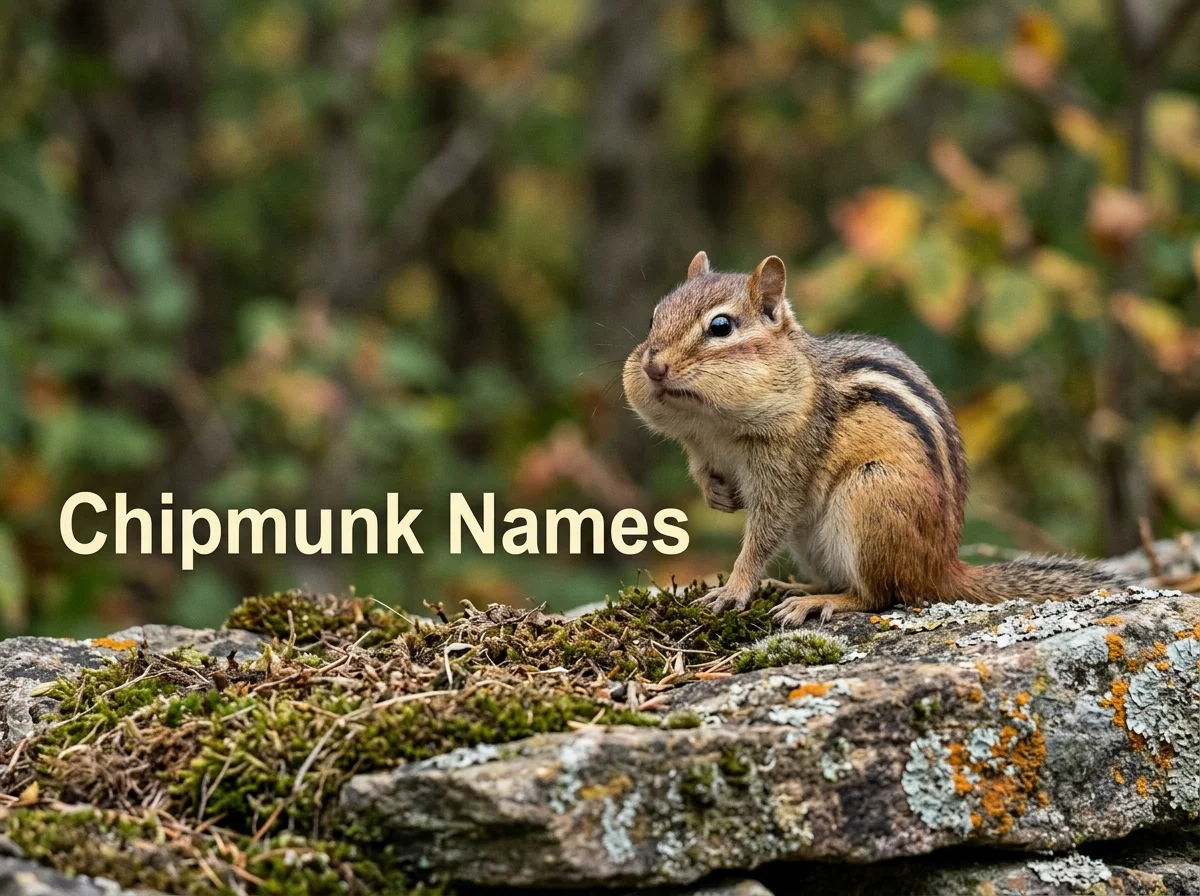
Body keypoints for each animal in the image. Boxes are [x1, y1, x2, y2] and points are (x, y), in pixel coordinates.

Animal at [623, 251, 1131, 626]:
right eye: (652, 318)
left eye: (721, 327)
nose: (653, 365)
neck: (714, 427)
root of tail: (941, 566)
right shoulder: (701, 448)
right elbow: (706, 475)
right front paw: (718, 495)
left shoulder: (787, 463)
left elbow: (765, 531)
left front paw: (733, 589)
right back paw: (798, 586)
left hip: (870, 498)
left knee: (879, 595)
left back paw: (818, 602)